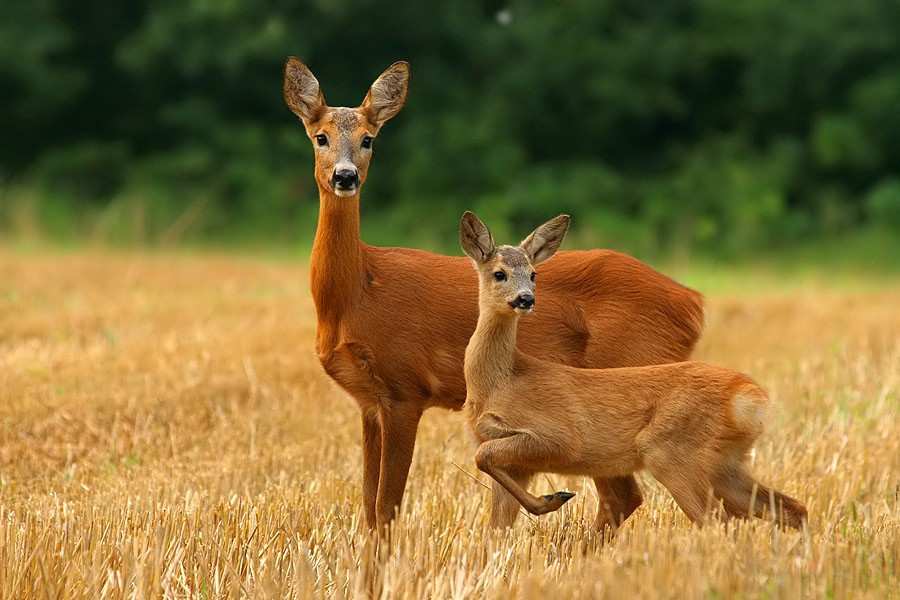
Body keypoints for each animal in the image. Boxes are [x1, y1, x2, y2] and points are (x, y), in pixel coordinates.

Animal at [284, 57, 708, 528]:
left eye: (368, 139)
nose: (346, 176)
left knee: (625, 494)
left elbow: (386, 505)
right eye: (320, 136)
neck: (358, 292)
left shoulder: (405, 389)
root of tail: (692, 302)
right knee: (623, 496)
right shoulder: (369, 402)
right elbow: (369, 509)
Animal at [460, 212, 804, 528]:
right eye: (499, 273)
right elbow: (494, 522)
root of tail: (750, 398)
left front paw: (555, 498)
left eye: (533, 274)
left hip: (672, 452)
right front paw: (549, 501)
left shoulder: (560, 437)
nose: (526, 299)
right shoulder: (512, 459)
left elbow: (483, 456)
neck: (501, 380)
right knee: (791, 508)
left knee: (716, 521)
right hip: (726, 463)